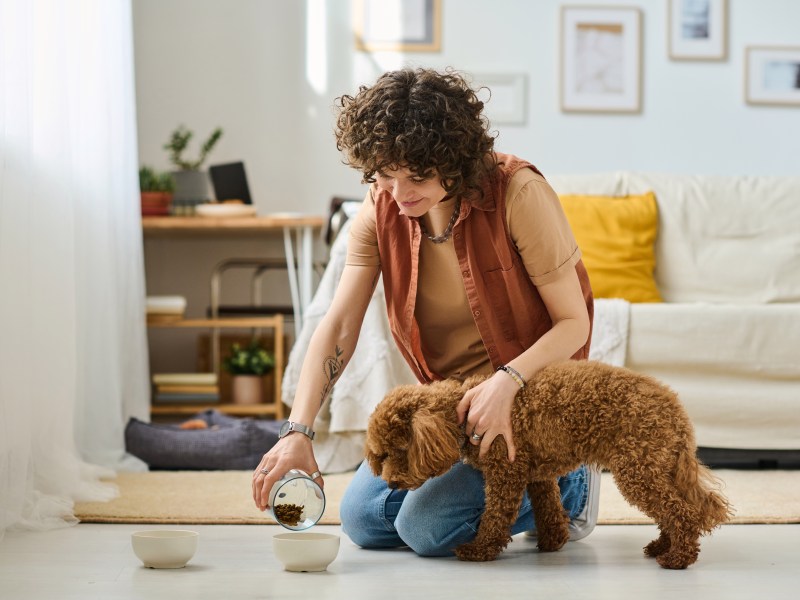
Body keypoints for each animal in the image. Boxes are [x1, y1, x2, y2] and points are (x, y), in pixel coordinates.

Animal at [366, 358, 736, 568]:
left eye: (399, 449)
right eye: (380, 455)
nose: (390, 483)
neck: (464, 409)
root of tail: (677, 411)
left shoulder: (506, 473)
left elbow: (495, 517)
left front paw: (480, 550)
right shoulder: (536, 474)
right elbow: (549, 507)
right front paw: (552, 541)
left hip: (638, 469)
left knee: (682, 512)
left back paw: (678, 557)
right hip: (657, 465)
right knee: (679, 508)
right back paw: (662, 545)